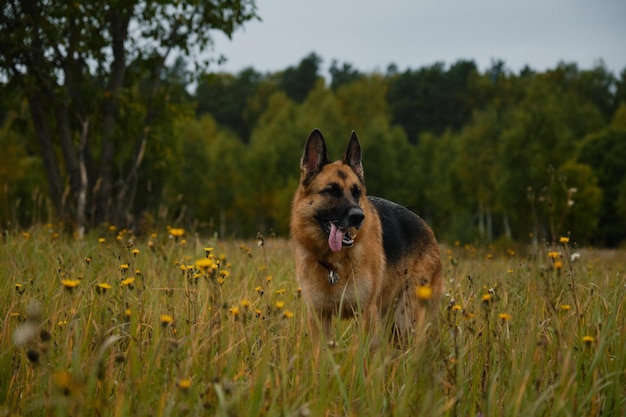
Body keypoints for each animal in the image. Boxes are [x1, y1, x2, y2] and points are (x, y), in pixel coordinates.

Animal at [290, 128, 442, 342]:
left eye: (356, 192)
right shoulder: (319, 317)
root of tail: (428, 230)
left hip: (407, 319)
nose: (358, 216)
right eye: (331, 191)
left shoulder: (366, 314)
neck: (333, 264)